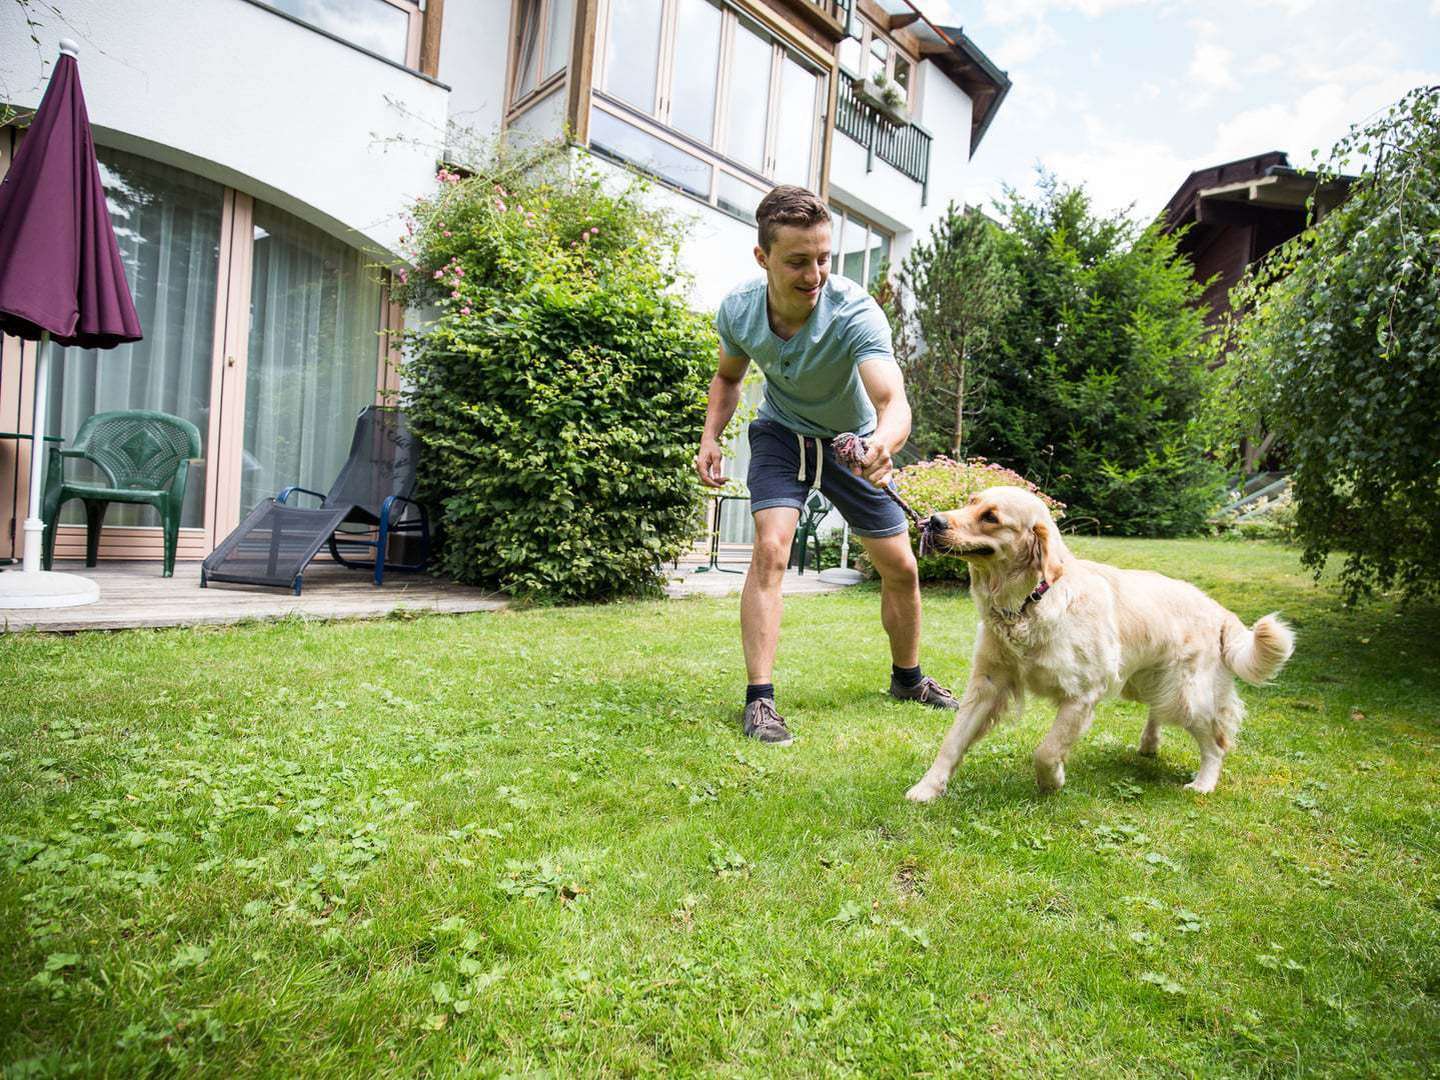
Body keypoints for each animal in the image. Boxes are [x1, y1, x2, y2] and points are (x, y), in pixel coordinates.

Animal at [898, 486, 1296, 800]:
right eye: (970, 502)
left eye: (991, 517)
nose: (933, 521)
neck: (1029, 602)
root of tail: (1218, 608)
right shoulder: (988, 683)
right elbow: (952, 741)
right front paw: (928, 788)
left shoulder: (1082, 694)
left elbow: (1047, 750)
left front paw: (1053, 781)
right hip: (1147, 681)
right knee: (1158, 713)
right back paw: (1149, 745)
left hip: (1188, 696)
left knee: (1217, 741)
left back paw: (1203, 782)